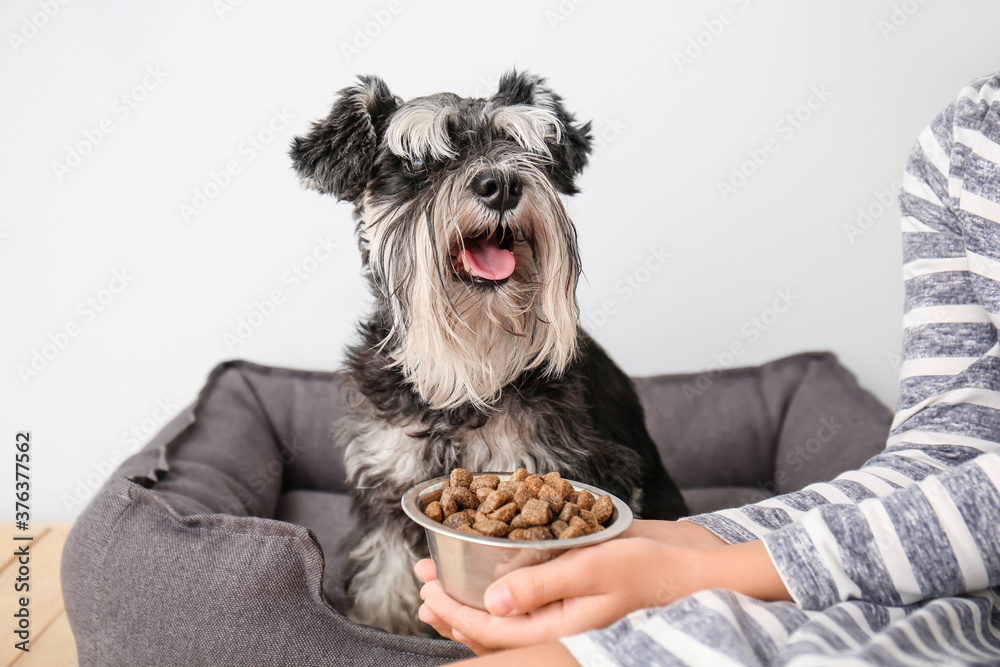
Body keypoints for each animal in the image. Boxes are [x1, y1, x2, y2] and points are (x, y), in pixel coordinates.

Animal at [290, 72, 688, 636]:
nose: (501, 183)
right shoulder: (388, 489)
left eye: (526, 149)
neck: (465, 376)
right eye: (418, 161)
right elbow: (385, 585)